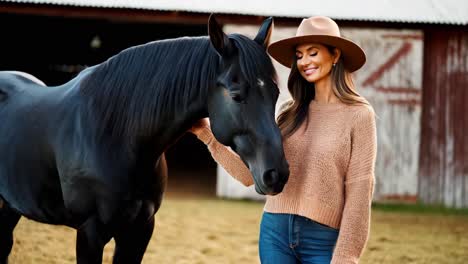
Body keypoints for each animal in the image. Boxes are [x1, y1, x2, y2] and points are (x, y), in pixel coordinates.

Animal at [0, 15, 288, 262]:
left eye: (275, 93)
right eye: (236, 95)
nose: (277, 174)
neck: (116, 136)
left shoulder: (139, 230)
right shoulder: (90, 232)